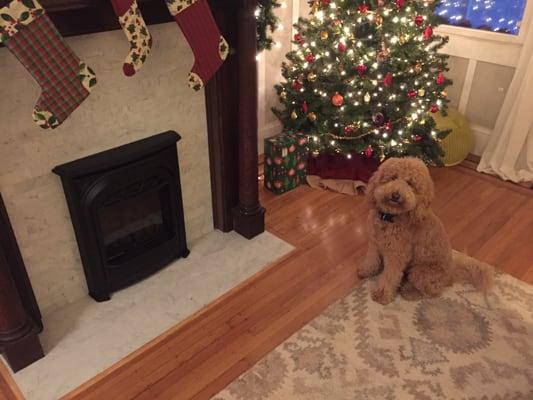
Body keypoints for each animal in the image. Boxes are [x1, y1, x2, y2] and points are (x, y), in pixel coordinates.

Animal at [360, 158, 492, 304]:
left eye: (410, 183)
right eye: (393, 177)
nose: (395, 195)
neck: (390, 217)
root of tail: (450, 274)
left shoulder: (396, 254)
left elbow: (390, 276)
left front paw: (382, 294)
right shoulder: (374, 243)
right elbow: (371, 259)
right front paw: (366, 271)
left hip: (419, 272)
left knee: (429, 291)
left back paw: (409, 292)